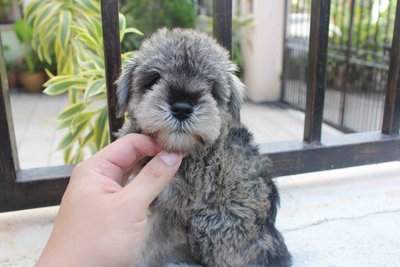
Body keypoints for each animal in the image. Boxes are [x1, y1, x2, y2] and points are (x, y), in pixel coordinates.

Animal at [115, 28, 290, 266]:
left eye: (210, 85)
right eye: (154, 78)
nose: (181, 108)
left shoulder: (173, 210)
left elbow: (149, 245)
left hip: (211, 222)